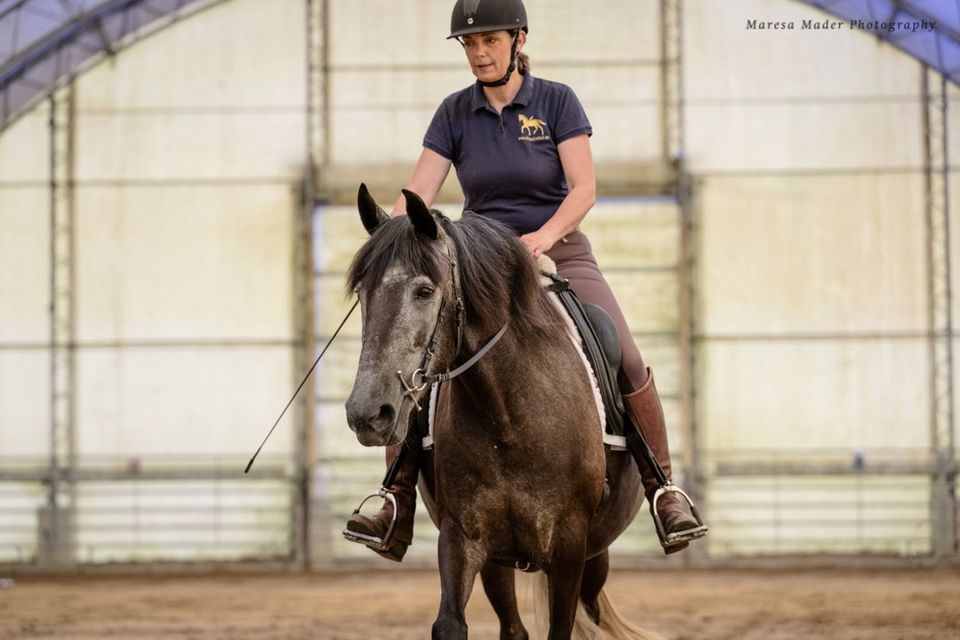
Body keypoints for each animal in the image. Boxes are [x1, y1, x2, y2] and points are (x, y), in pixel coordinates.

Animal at [344, 182, 660, 636]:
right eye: (362, 293)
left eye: (424, 291)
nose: (368, 414)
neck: (506, 418)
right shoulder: (464, 537)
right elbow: (450, 623)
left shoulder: (569, 547)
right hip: (500, 562)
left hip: (593, 558)